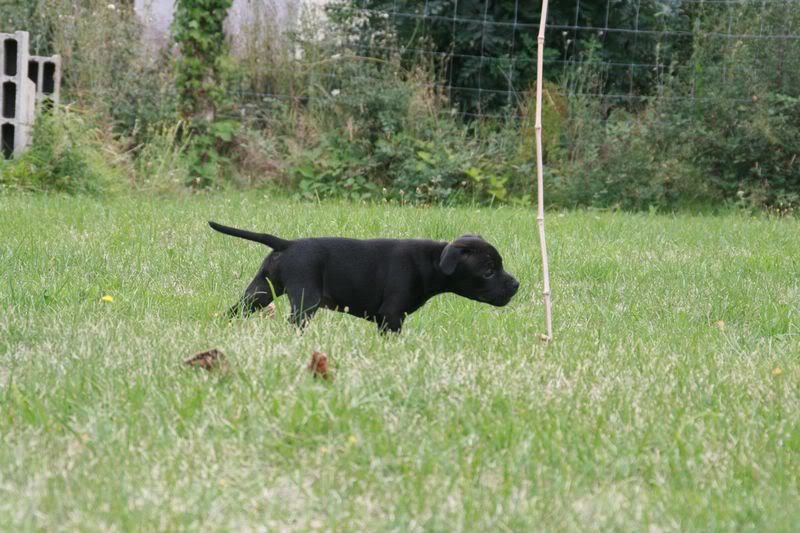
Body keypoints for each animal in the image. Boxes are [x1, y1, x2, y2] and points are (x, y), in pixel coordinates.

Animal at [208, 218, 520, 330]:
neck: (432, 262)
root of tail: (287, 244)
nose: (516, 284)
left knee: (234, 310)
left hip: (259, 292)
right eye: (489, 271)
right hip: (305, 301)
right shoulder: (392, 316)